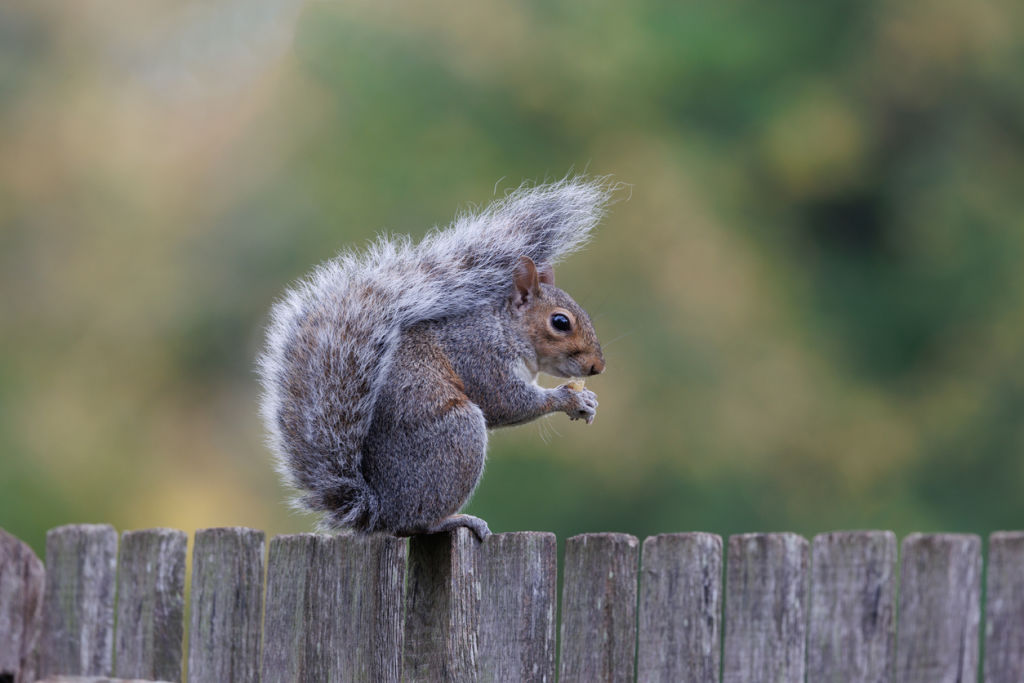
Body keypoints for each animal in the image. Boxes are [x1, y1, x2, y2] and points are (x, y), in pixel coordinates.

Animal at [256, 179, 610, 540]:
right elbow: (507, 403)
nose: (597, 367)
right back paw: (453, 519)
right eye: (560, 322)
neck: (505, 329)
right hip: (457, 437)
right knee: (417, 523)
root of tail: (380, 511)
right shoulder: (478, 355)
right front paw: (568, 398)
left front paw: (589, 401)